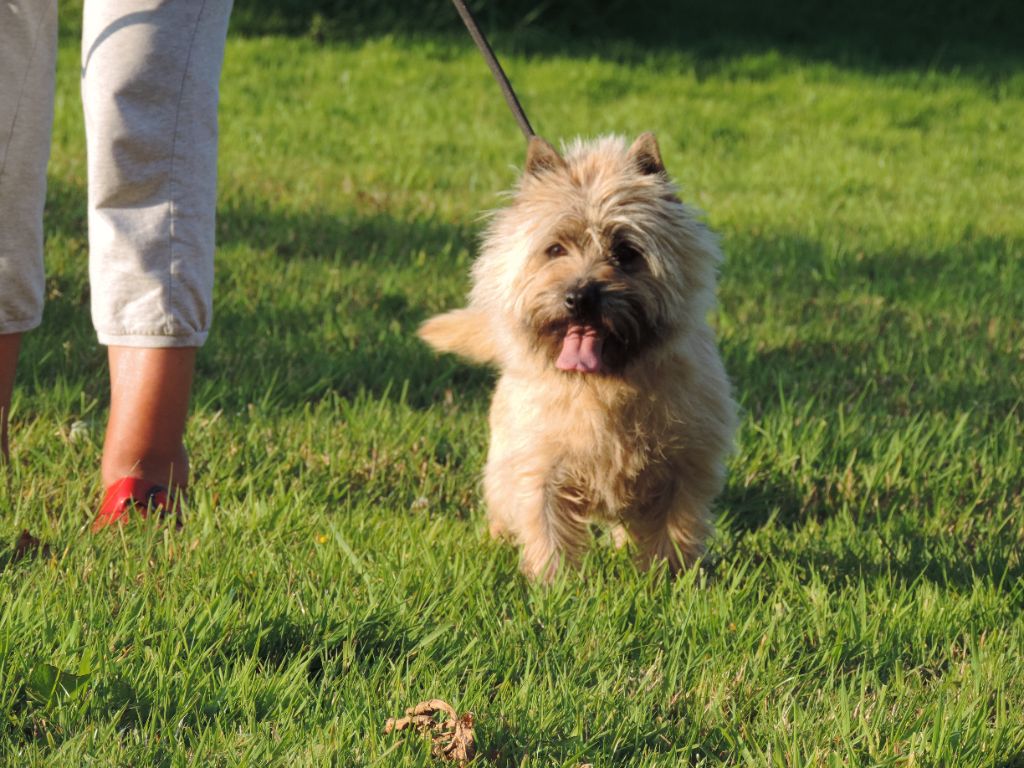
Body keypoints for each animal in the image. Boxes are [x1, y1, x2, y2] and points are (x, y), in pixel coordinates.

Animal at [417, 132, 737, 581]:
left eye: (626, 251)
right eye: (555, 248)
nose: (580, 297)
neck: (604, 385)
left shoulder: (684, 467)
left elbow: (673, 529)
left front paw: (666, 581)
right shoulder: (540, 466)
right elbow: (546, 528)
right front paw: (553, 586)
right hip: (502, 465)